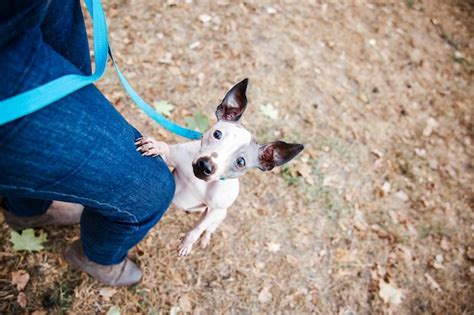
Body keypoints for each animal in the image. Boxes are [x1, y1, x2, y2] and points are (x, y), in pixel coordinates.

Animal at [133, 79, 304, 256]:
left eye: (241, 162)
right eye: (217, 134)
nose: (205, 165)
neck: (200, 183)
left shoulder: (216, 210)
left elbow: (197, 229)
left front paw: (187, 243)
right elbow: (166, 150)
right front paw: (156, 146)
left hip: (220, 215)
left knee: (207, 228)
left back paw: (205, 239)